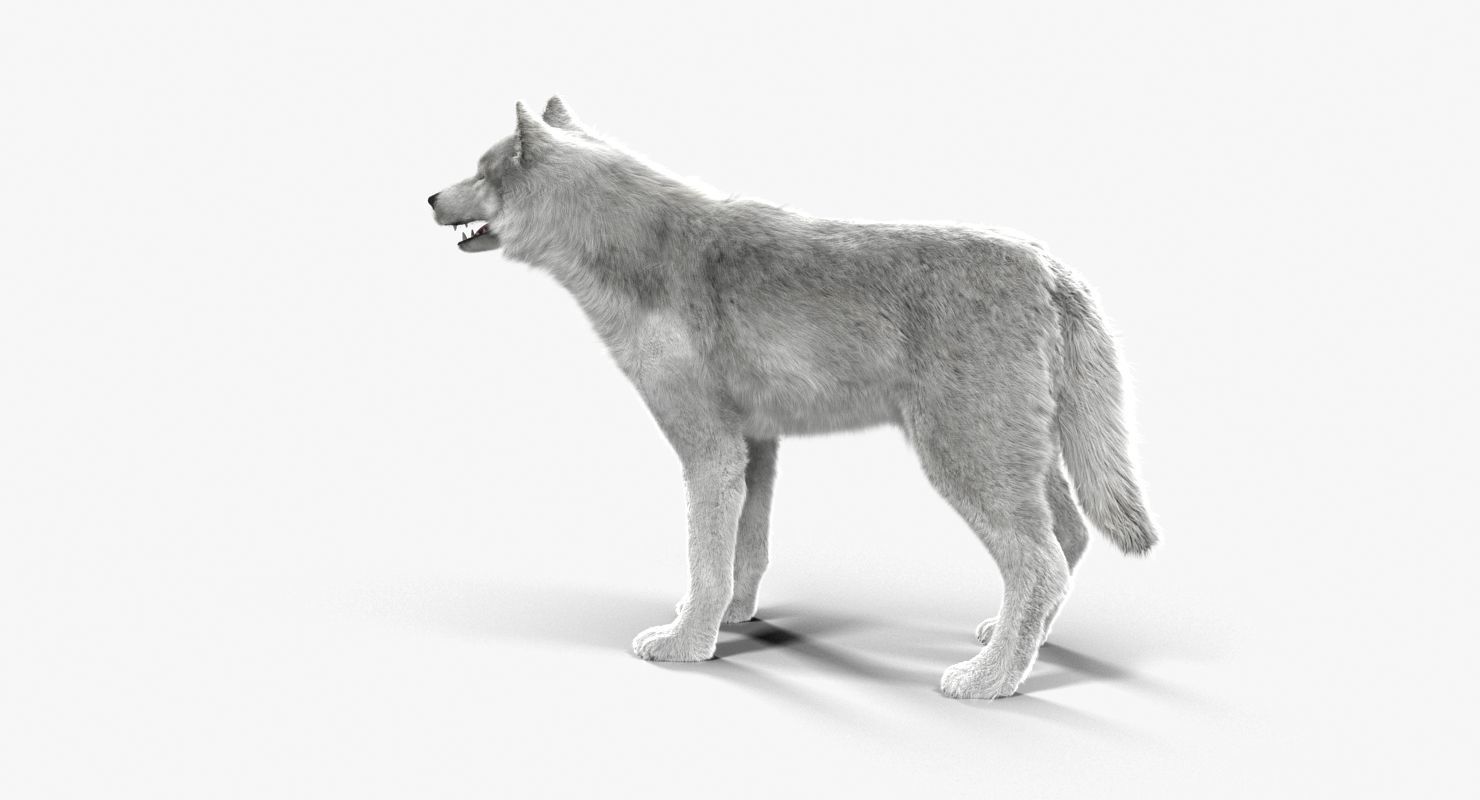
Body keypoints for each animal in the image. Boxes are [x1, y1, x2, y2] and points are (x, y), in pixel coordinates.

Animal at [427, 97, 1158, 699]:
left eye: (482, 173)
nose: (430, 196)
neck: (636, 255)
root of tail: (1051, 268)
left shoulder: (710, 452)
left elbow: (706, 562)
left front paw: (685, 645)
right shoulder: (754, 445)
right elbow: (743, 554)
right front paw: (728, 621)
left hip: (968, 460)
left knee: (1042, 564)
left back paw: (991, 680)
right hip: (1017, 458)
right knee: (1067, 541)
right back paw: (1014, 646)